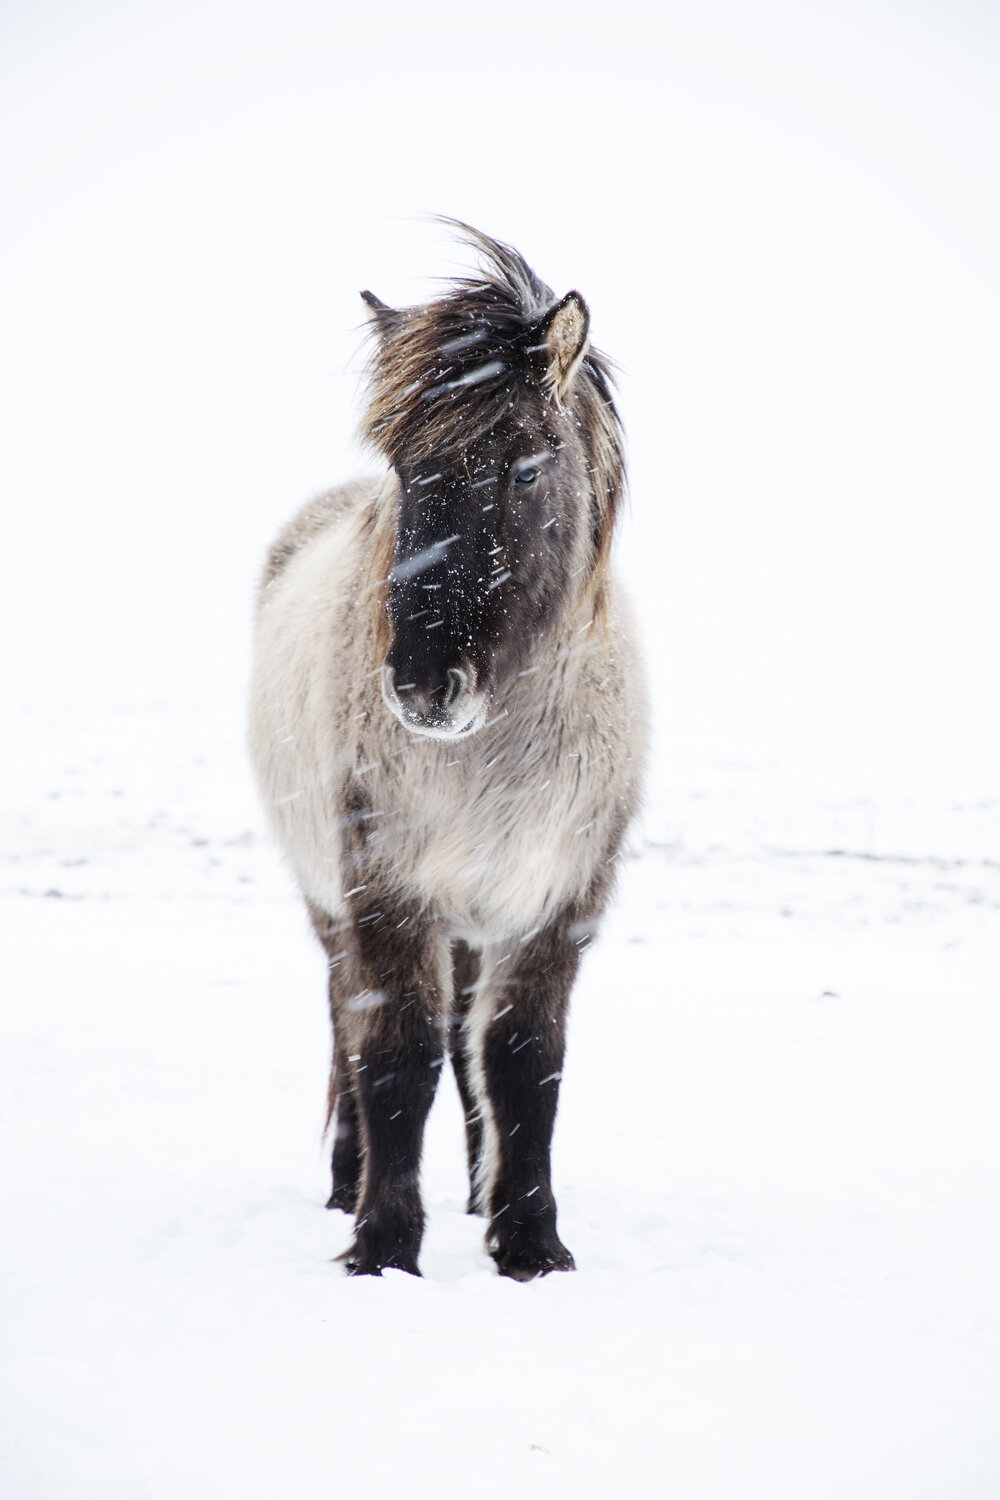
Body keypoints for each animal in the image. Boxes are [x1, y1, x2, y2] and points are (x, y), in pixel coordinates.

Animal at [248, 222, 647, 1279]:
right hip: (332, 904)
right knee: (348, 1024)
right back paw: (350, 1183)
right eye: (400, 467)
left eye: (526, 468)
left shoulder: (556, 903)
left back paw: (473, 1194)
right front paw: (383, 1246)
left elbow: (520, 1061)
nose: (423, 689)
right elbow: (395, 1058)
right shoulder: (384, 893)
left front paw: (529, 1242)